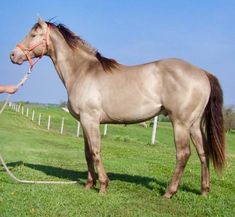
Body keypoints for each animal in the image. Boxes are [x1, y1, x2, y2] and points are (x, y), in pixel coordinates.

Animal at [10, 17, 225, 198]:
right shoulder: (85, 122)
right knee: (203, 153)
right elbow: (87, 153)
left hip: (180, 123)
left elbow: (96, 151)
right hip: (194, 124)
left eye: (34, 34)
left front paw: (103, 186)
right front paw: (89, 184)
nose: (13, 55)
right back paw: (204, 191)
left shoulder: (90, 120)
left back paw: (169, 192)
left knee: (183, 154)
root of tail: (202, 73)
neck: (82, 71)